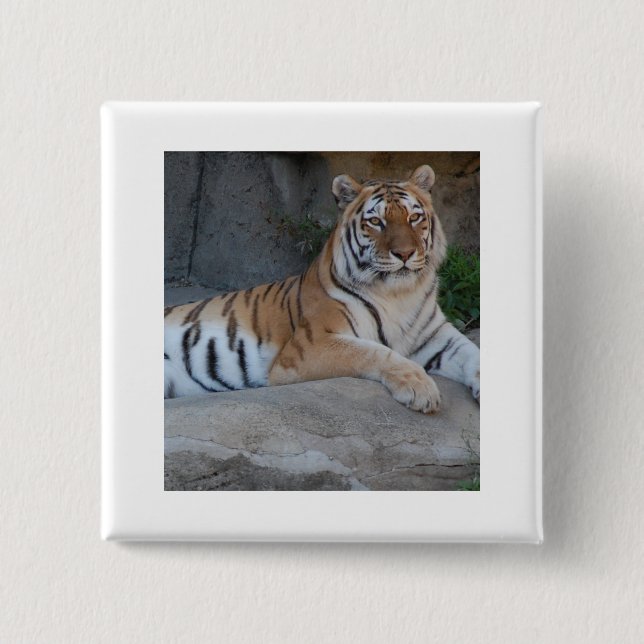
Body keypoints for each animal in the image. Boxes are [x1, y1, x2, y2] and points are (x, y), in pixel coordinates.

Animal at [164, 165, 480, 414]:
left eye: (414, 218)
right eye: (376, 221)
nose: (404, 253)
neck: (399, 295)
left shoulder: (437, 336)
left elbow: (473, 352)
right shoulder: (311, 345)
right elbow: (375, 352)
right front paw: (421, 389)